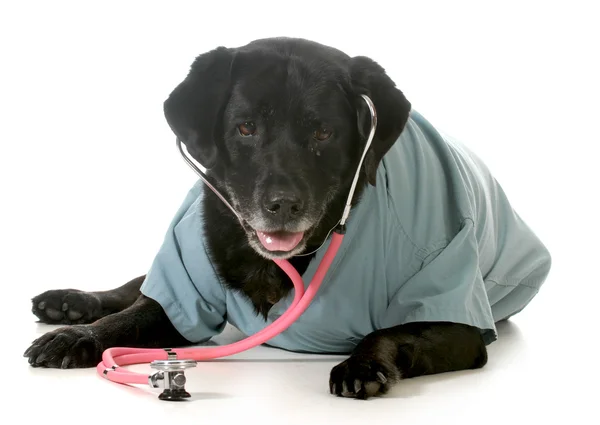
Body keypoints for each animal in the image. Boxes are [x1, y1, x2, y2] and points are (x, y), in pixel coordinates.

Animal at [23, 36, 548, 398]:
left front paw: (362, 363)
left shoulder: (458, 323)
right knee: (136, 285)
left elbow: (389, 330)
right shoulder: (180, 288)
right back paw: (68, 305)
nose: (282, 204)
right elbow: (132, 315)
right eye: (246, 127)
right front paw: (79, 335)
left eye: (323, 133)